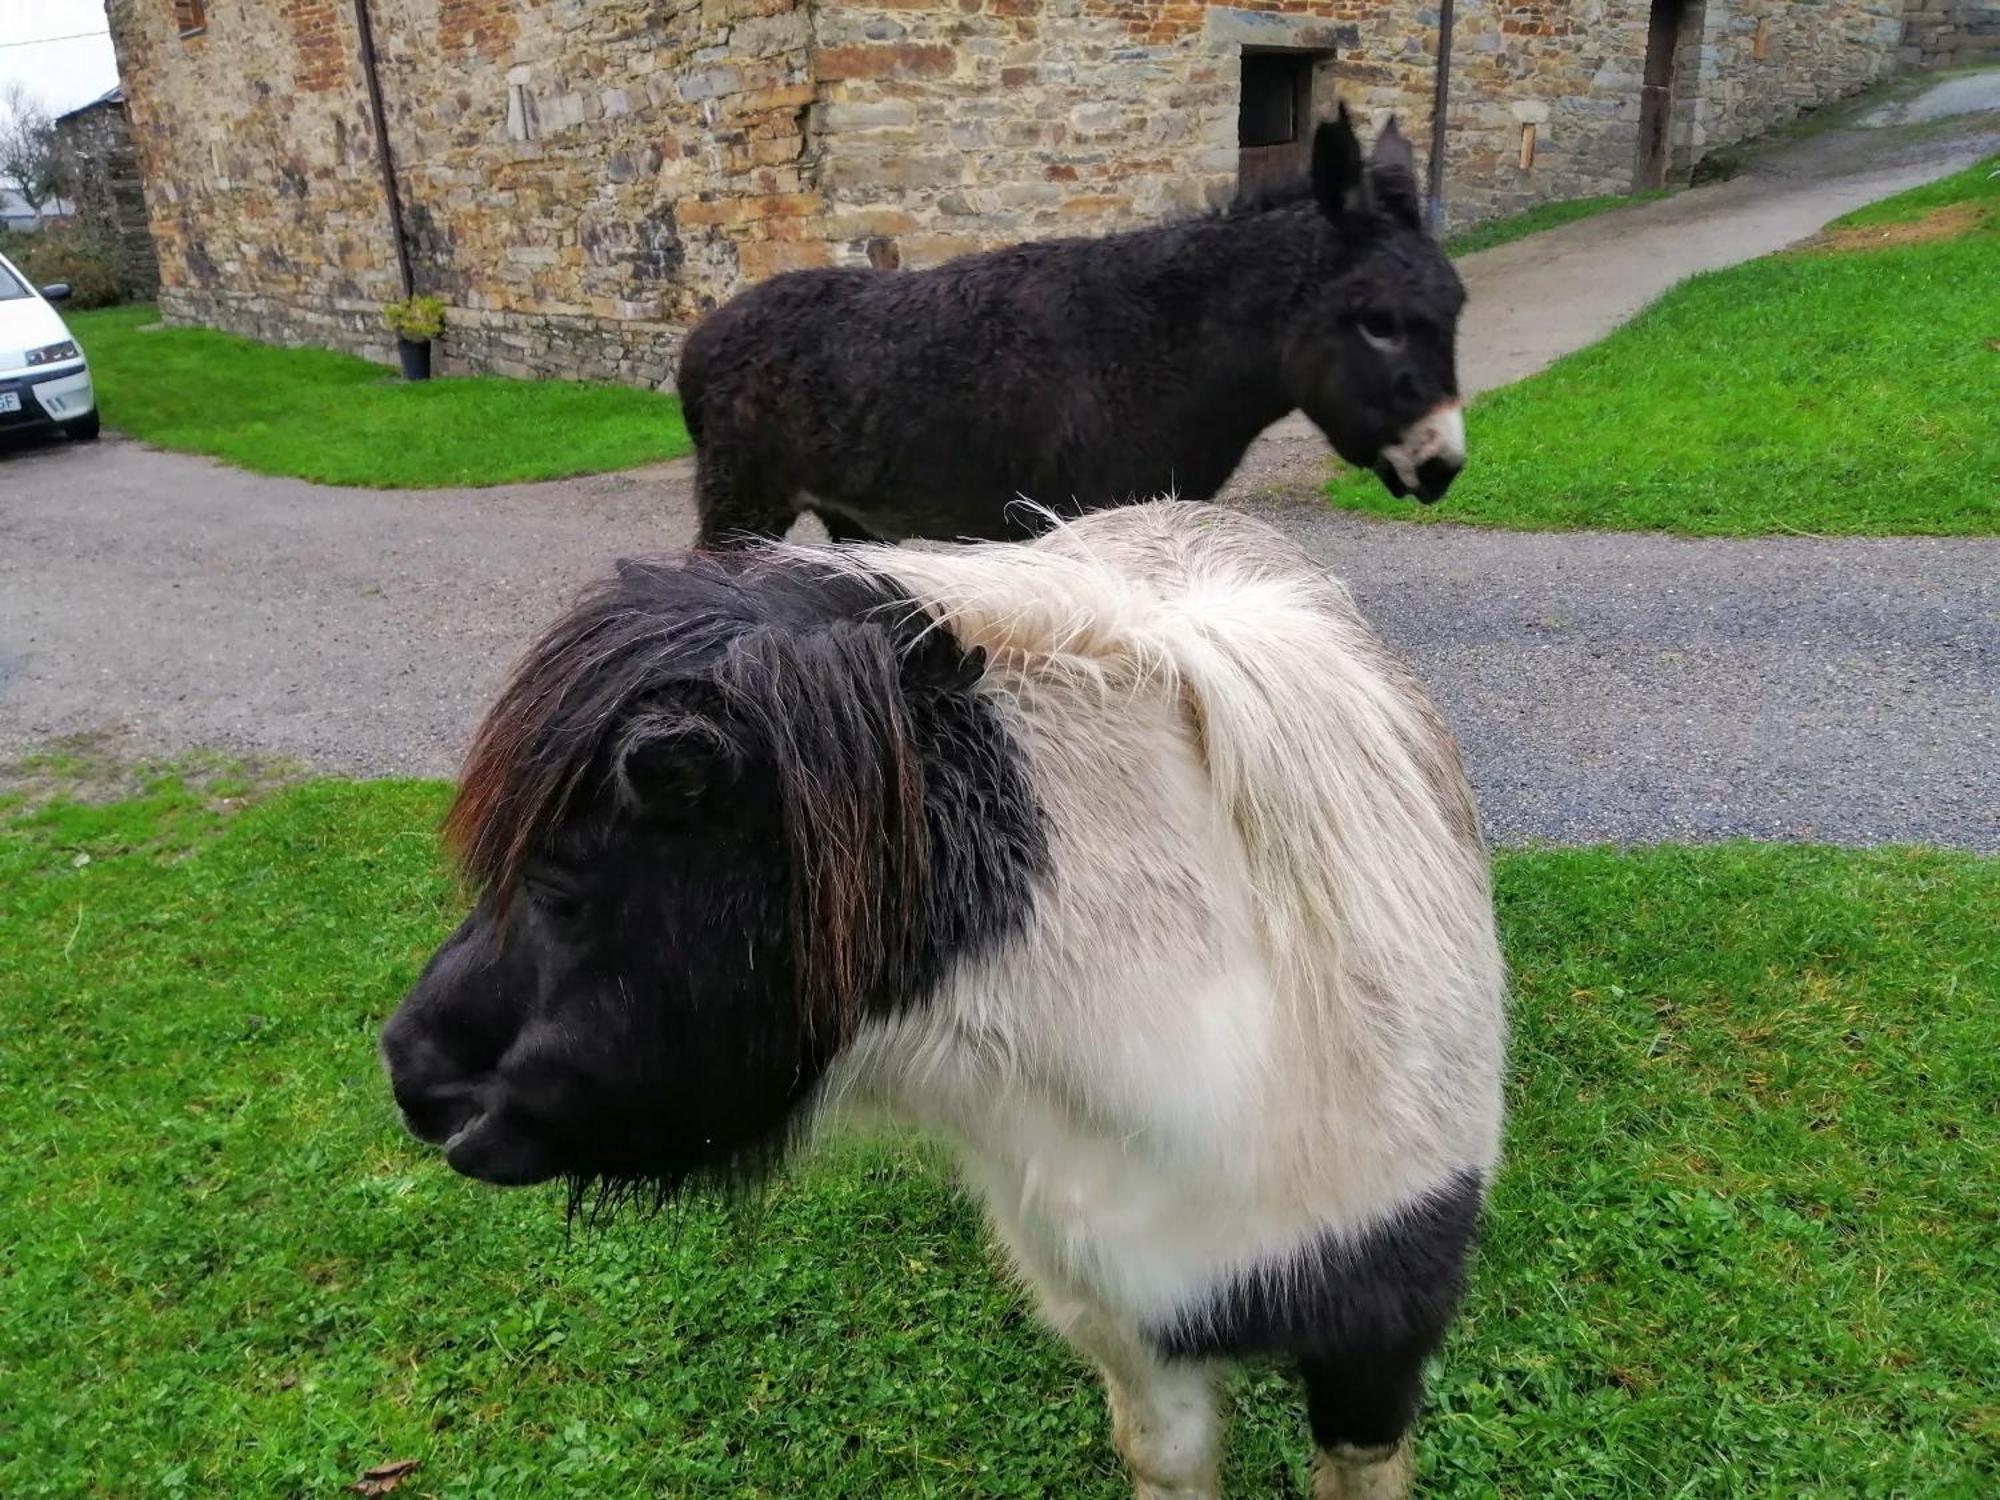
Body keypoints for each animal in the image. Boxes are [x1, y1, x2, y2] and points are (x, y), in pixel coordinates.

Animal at [680, 108, 1464, 548]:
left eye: (1457, 309)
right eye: (1379, 323)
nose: (1444, 465)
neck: (1169, 345)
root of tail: (702, 337)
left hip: (850, 516)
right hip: (743, 504)